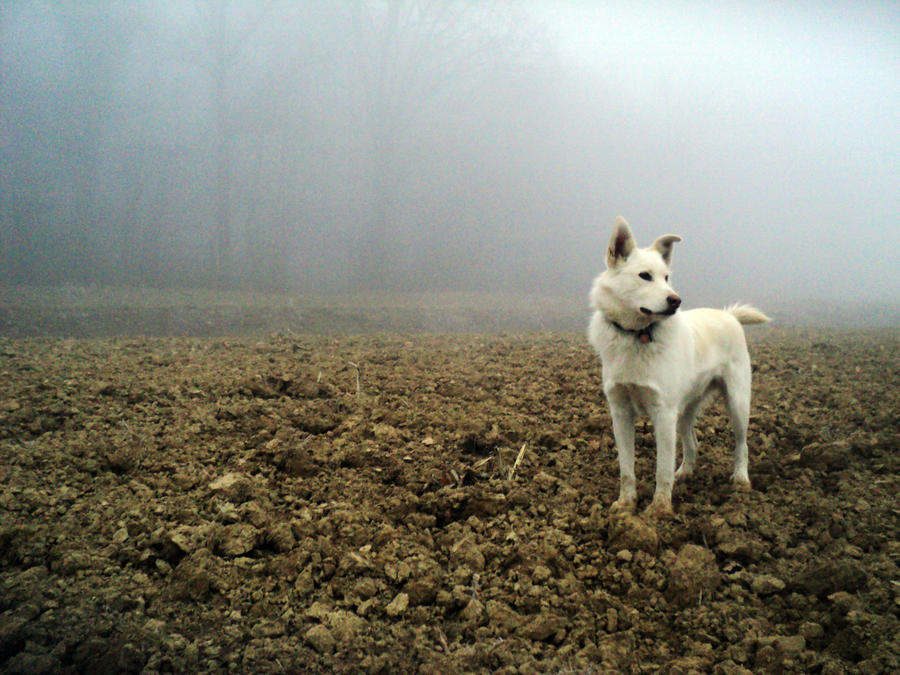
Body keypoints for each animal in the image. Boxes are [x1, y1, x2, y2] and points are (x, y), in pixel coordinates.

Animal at [588, 219, 768, 516]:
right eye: (645, 276)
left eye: (666, 277)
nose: (676, 300)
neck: (638, 335)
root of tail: (728, 315)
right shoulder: (621, 412)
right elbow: (626, 468)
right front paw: (625, 504)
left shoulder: (663, 413)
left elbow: (662, 468)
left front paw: (659, 509)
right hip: (685, 409)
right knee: (692, 441)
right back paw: (685, 473)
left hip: (737, 403)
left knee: (741, 444)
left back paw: (741, 480)